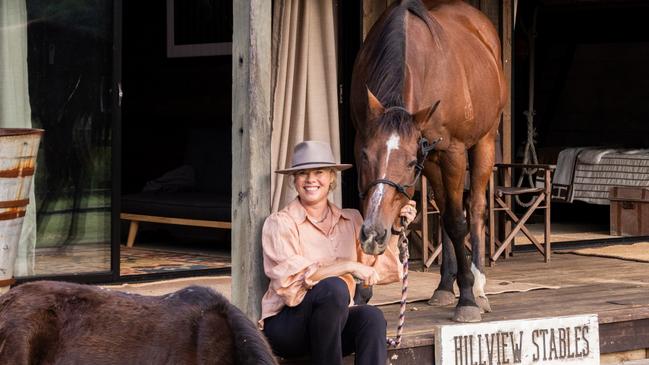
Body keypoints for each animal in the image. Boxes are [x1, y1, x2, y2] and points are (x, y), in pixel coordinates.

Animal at [350, 0, 506, 320]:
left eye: (410, 163)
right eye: (366, 156)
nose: (374, 235)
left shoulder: (452, 152)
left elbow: (457, 222)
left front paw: (467, 298)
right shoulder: (364, 139)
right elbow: (368, 205)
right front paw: (362, 292)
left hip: (482, 141)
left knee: (474, 208)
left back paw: (478, 286)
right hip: (433, 159)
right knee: (443, 207)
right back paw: (445, 286)